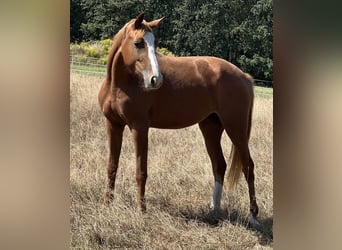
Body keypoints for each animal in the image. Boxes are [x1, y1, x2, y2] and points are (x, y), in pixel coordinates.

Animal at [97, 12, 258, 226]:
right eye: (139, 43)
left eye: (155, 43)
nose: (156, 80)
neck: (120, 84)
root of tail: (244, 76)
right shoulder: (113, 125)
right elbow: (111, 167)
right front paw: (106, 205)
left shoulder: (139, 128)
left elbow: (141, 171)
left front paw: (141, 211)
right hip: (211, 128)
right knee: (219, 165)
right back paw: (213, 209)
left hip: (236, 128)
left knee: (248, 167)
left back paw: (253, 217)